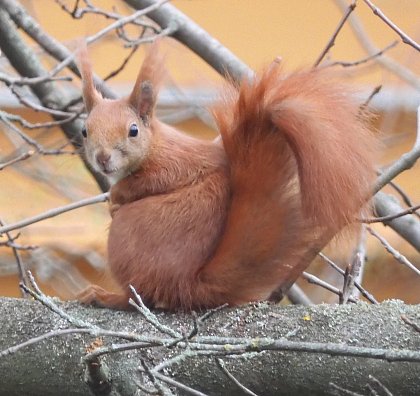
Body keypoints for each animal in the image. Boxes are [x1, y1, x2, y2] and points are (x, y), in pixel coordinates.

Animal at [75, 43, 378, 312]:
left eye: (133, 131)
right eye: (84, 131)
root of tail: (187, 285)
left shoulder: (177, 162)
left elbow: (149, 181)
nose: (103, 159)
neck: (156, 143)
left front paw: (117, 197)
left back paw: (105, 296)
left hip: (125, 236)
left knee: (140, 298)